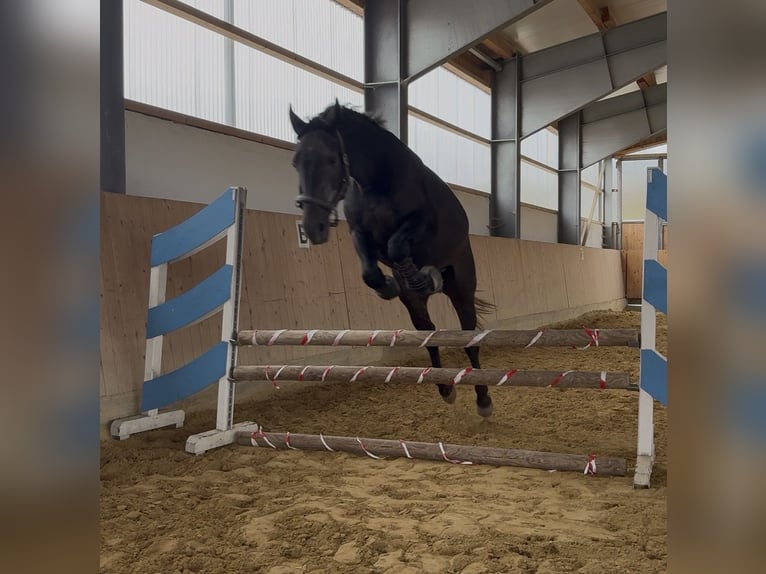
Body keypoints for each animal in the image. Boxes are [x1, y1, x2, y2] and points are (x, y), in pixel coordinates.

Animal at [289, 100, 495, 417]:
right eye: (296, 162)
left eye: (331, 160)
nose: (314, 228)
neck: (374, 180)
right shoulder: (359, 233)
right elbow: (370, 272)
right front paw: (389, 285)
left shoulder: (422, 223)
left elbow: (398, 245)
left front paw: (420, 276)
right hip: (415, 305)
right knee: (429, 334)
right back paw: (445, 387)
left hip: (462, 289)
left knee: (469, 339)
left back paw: (483, 400)